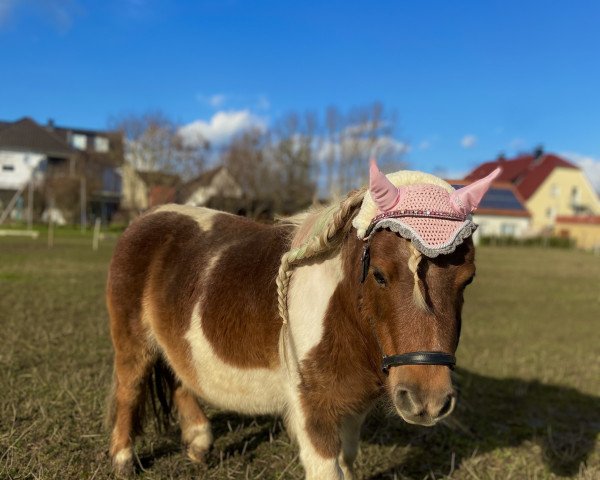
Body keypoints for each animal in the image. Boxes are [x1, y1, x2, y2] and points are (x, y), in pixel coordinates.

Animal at [105, 159, 500, 478]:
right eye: (379, 275)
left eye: (467, 279)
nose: (428, 400)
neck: (345, 313)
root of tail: (145, 219)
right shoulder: (313, 410)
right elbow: (329, 469)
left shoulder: (354, 405)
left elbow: (349, 459)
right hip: (132, 342)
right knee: (129, 387)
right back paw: (123, 460)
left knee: (180, 377)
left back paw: (199, 443)